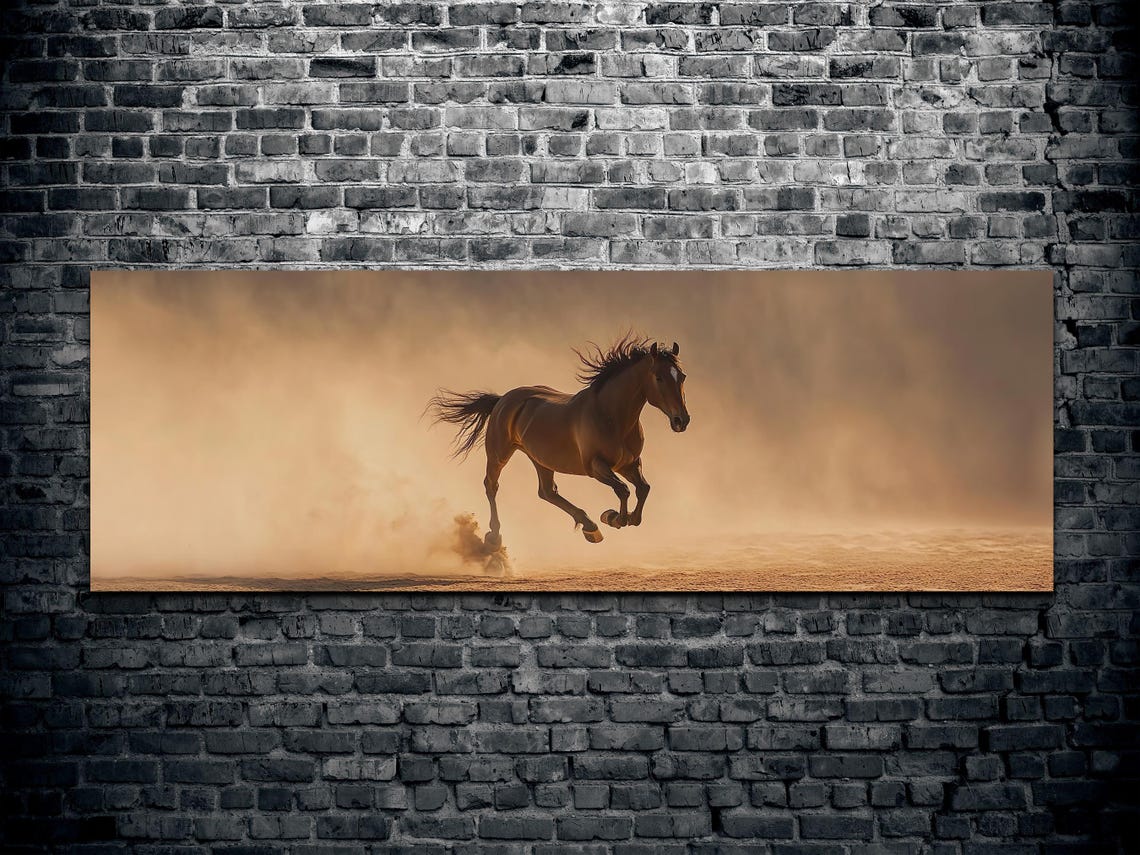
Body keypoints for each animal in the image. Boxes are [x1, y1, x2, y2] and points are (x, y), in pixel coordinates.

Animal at [428, 334, 690, 549]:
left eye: (682, 376)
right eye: (659, 377)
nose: (682, 420)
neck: (611, 416)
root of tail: (502, 399)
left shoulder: (629, 464)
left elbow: (643, 489)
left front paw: (618, 518)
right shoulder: (595, 466)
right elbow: (623, 489)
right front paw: (614, 518)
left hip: (540, 459)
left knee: (547, 492)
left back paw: (591, 527)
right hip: (499, 454)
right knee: (491, 485)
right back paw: (494, 536)